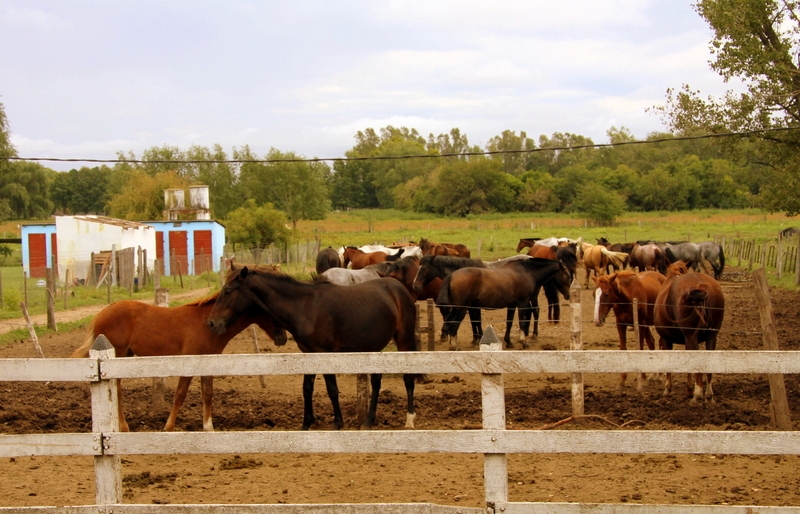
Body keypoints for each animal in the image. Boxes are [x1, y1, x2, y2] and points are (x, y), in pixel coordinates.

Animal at [69, 290, 288, 430]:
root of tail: (100, 314)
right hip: (119, 356)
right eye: (271, 313)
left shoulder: (208, 363)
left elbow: (208, 394)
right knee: (117, 390)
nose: (283, 338)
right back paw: (123, 427)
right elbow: (180, 395)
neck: (206, 324)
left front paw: (208, 427)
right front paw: (169, 427)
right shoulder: (189, 363)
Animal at [206, 264, 418, 428]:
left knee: (408, 379)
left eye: (228, 291)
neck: (305, 307)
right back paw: (368, 421)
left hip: (404, 339)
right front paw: (306, 424)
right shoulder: (308, 353)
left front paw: (337, 423)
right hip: (374, 347)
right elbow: (307, 388)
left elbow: (332, 389)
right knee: (376, 382)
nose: (212, 323)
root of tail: (399, 287)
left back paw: (409, 420)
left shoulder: (324, 353)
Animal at [434, 258, 572, 350]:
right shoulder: (523, 303)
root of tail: (452, 275)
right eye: (567, 276)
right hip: (461, 309)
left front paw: (509, 342)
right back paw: (454, 347)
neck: (526, 272)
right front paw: (523, 342)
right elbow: (522, 322)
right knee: (454, 325)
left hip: (456, 309)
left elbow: (509, 323)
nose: (568, 295)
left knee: (449, 323)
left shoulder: (511, 305)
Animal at [656, 262, 724, 402]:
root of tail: (702, 285)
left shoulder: (666, 339)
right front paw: (689, 389)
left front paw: (668, 389)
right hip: (711, 336)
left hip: (691, 337)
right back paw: (708, 395)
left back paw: (698, 394)